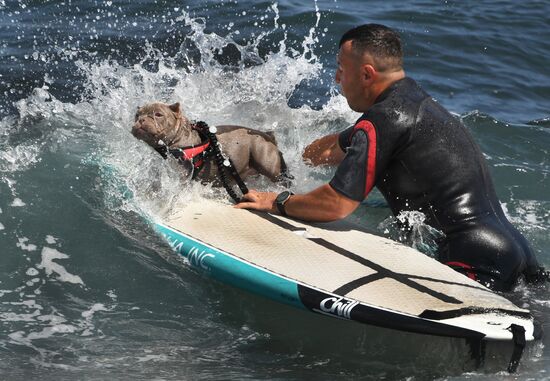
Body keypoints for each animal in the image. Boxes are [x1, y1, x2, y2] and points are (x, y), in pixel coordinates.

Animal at [132, 102, 292, 183]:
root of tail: (269, 136)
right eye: (137, 115)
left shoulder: (183, 174)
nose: (141, 119)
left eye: (158, 114)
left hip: (266, 161)